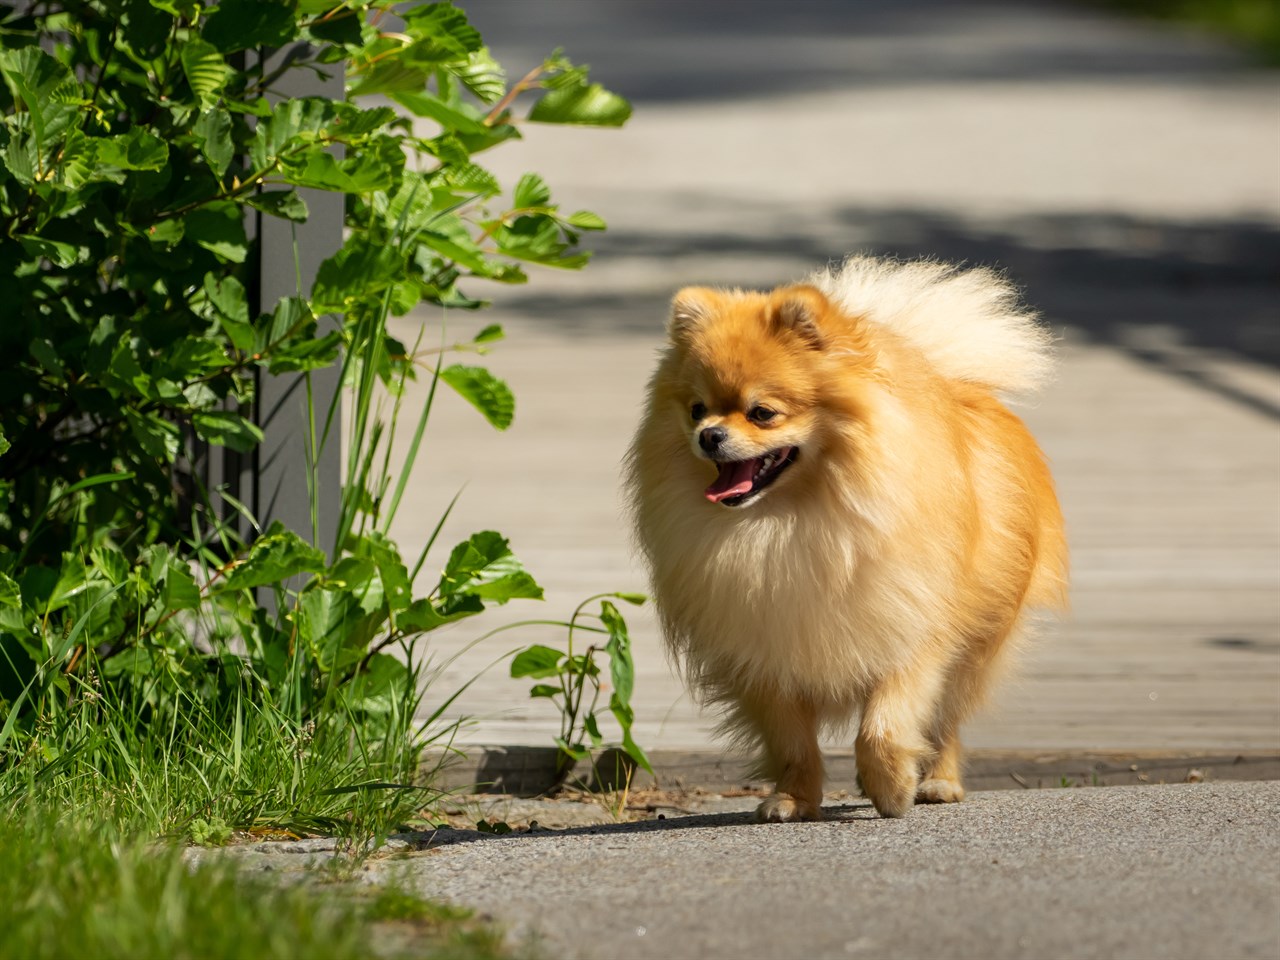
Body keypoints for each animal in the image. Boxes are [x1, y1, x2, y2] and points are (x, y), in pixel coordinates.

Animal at [624, 259, 1064, 824]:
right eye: (697, 409)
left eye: (762, 412)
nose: (709, 436)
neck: (788, 523)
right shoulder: (762, 651)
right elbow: (794, 743)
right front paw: (794, 798)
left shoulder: (910, 626)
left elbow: (884, 725)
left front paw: (891, 786)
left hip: (977, 641)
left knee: (947, 718)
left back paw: (939, 781)